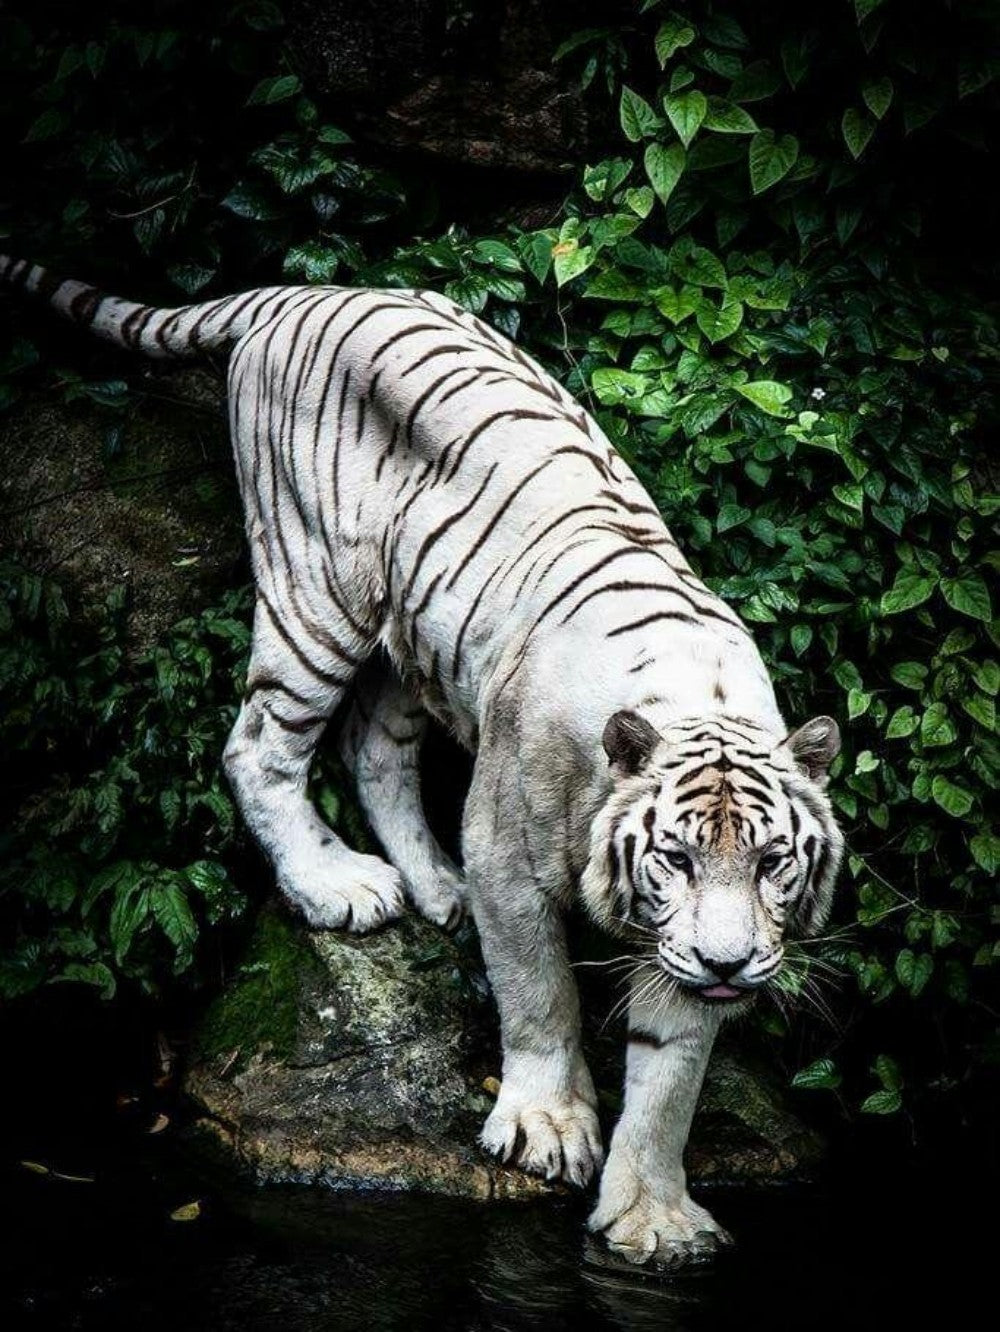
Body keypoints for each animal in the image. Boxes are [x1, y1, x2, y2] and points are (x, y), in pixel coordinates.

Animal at [0, 254, 843, 1267]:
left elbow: (672, 1075)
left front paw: (651, 1218)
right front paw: (546, 1128)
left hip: (419, 636)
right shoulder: (510, 853)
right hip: (316, 590)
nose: (729, 964)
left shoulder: (684, 943)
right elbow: (540, 995)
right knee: (258, 743)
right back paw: (338, 887)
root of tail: (306, 290)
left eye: (771, 861)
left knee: (372, 747)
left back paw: (435, 884)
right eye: (674, 857)